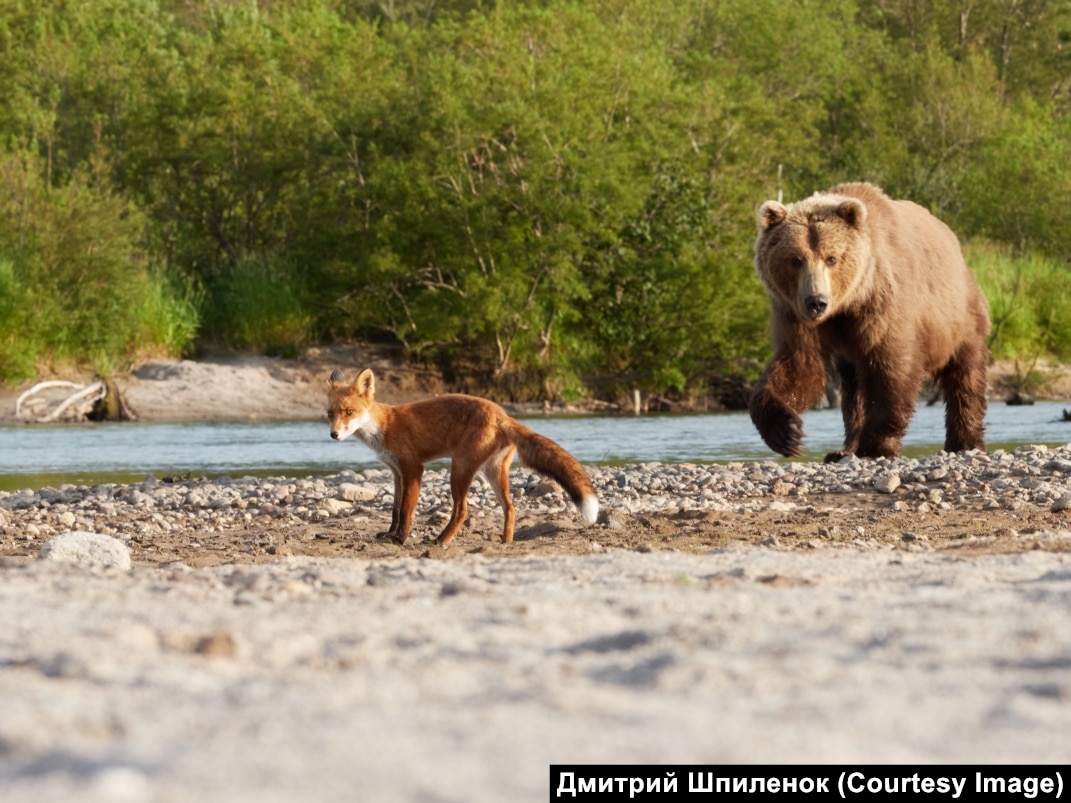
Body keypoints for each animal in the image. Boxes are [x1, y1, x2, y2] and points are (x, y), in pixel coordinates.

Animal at [325, 370, 599, 548]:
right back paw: (506, 542)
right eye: (330, 414)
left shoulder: (413, 468)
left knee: (462, 510)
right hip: (492, 472)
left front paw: (399, 540)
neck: (384, 427)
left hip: (459, 469)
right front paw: (390, 535)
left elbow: (406, 511)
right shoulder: (396, 471)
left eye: (349, 412)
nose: (333, 435)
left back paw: (439, 541)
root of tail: (503, 415)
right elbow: (394, 510)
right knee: (510, 507)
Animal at [749, 178, 989, 462]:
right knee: (853, 391)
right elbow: (799, 364)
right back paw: (843, 449)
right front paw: (785, 431)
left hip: (958, 316)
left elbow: (892, 369)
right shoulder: (795, 314)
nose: (817, 302)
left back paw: (964, 442)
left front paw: (874, 447)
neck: (846, 304)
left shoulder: (883, 305)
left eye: (832, 258)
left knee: (965, 376)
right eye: (795, 259)